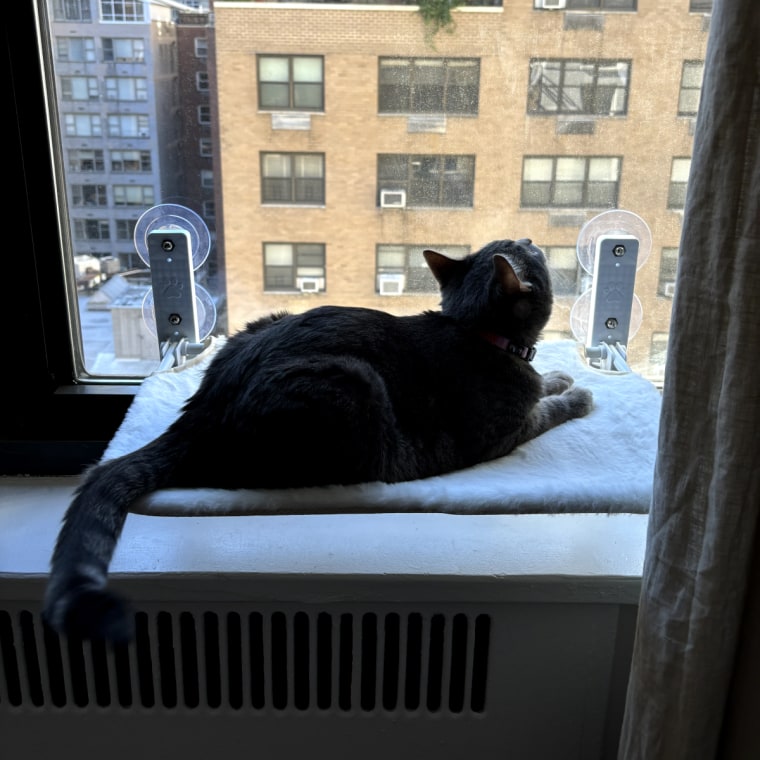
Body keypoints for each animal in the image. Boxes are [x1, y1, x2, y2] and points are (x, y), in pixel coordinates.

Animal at [43, 238, 592, 640]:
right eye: (531, 252)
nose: (532, 239)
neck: (478, 332)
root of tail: (200, 412)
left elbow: (544, 383)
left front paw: (558, 375)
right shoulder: (504, 430)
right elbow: (545, 405)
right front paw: (575, 391)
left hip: (270, 322)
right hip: (349, 384)